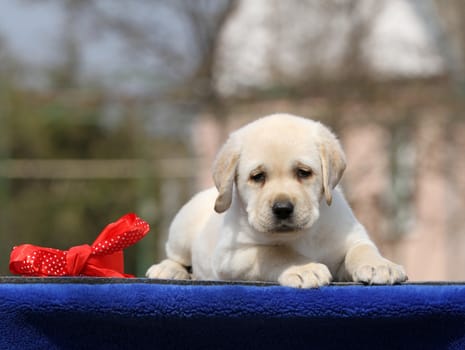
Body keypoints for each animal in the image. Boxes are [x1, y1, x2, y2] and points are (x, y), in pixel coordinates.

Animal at [146, 115, 406, 288]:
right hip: (182, 227)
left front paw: (380, 265)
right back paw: (167, 269)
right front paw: (303, 268)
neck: (302, 235)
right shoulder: (232, 255)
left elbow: (362, 250)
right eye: (257, 176)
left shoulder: (351, 237)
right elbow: (274, 252)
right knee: (177, 257)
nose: (282, 209)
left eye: (303, 172)